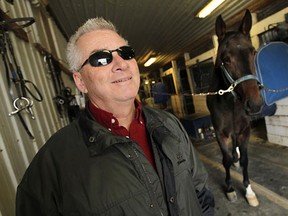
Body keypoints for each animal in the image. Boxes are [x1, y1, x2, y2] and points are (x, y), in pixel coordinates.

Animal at [206, 10, 264, 208]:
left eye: (253, 52)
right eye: (226, 59)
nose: (255, 104)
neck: (231, 103)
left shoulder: (244, 131)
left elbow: (245, 160)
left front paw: (249, 191)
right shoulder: (220, 133)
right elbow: (225, 160)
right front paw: (230, 189)